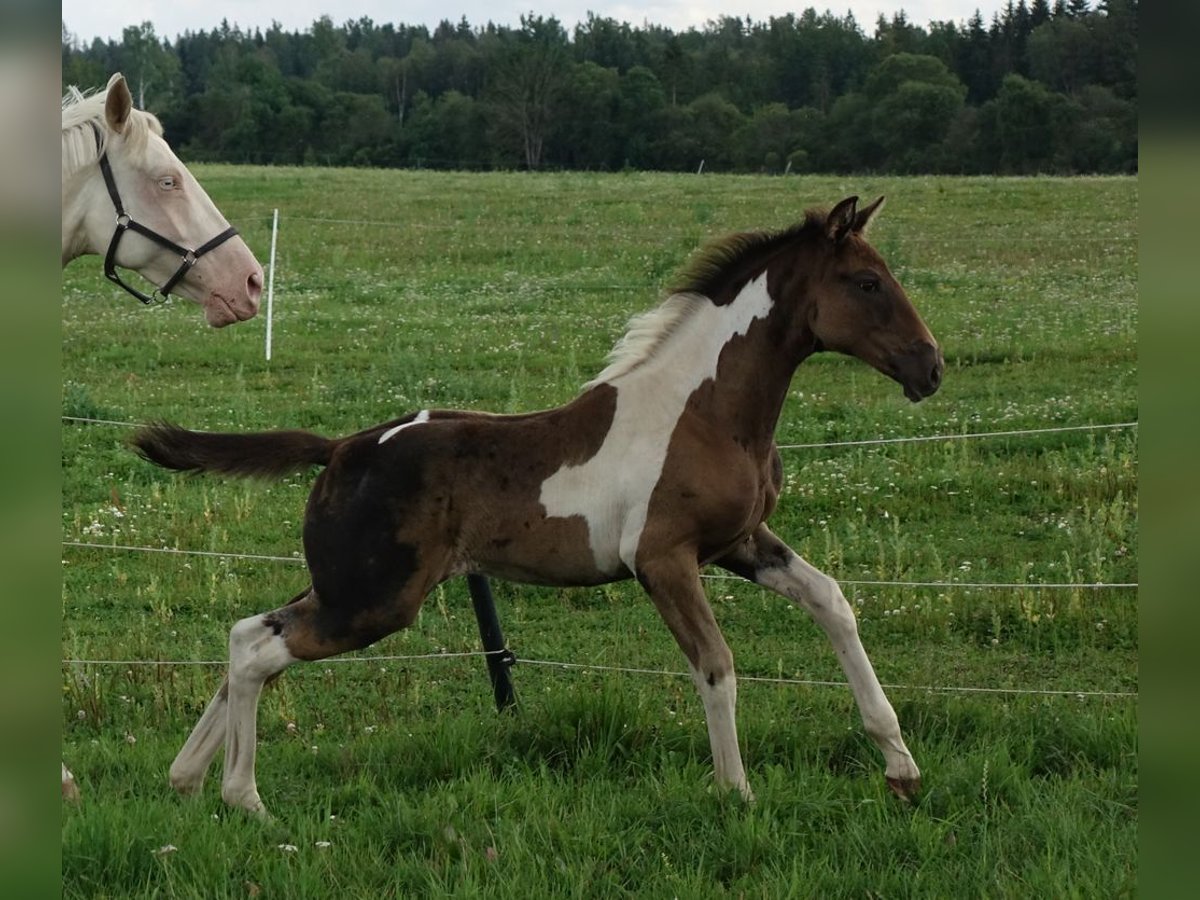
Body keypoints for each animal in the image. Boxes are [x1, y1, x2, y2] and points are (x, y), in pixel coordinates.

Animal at [138, 196, 945, 816]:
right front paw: (735, 793)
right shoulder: (664, 558)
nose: (931, 367)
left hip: (346, 584)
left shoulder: (741, 542)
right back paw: (244, 798)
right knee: (259, 649)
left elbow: (832, 601)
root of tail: (339, 448)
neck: (706, 410)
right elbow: (716, 664)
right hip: (374, 600)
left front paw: (901, 767)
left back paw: (187, 779)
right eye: (867, 282)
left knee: (249, 635)